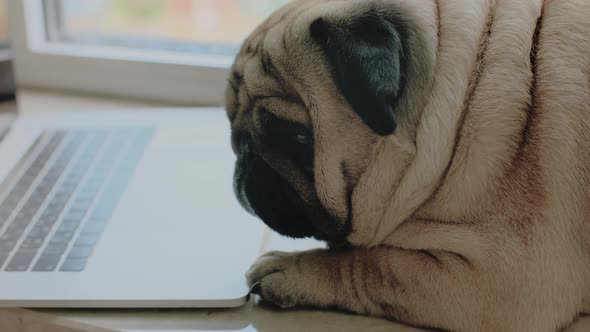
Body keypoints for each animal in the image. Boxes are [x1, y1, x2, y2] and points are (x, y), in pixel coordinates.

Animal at [225, 0, 590, 332]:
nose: (245, 157)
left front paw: (295, 268)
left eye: (295, 138)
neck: (464, 101)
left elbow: (371, 267)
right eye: (232, 123)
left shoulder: (499, 282)